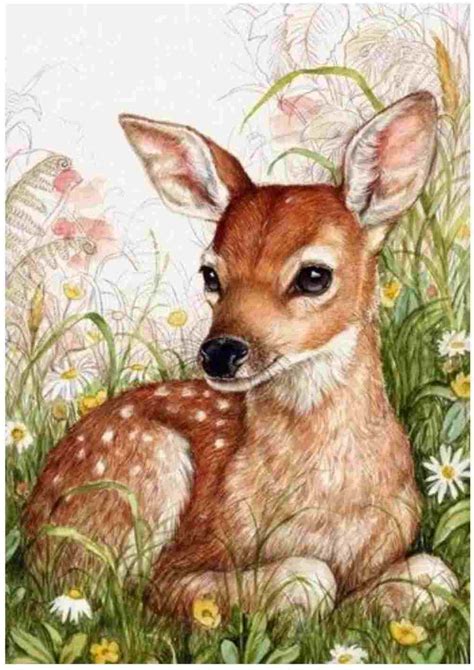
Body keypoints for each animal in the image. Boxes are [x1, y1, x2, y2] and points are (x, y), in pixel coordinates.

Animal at [23, 91, 458, 621]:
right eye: (210, 274)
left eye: (314, 276)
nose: (220, 351)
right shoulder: (178, 567)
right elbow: (310, 578)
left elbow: (438, 573)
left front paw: (372, 600)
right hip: (143, 464)